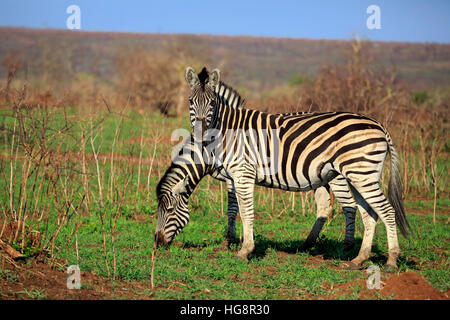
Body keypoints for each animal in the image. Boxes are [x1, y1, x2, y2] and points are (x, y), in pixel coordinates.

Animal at [181, 65, 410, 270]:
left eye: (212, 103)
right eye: (191, 102)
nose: (201, 133)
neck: (229, 130)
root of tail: (379, 125)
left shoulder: (243, 173)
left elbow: (246, 212)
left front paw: (244, 251)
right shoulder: (234, 176)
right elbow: (236, 209)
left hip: (361, 174)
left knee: (386, 211)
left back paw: (391, 261)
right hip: (359, 176)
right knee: (369, 214)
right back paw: (359, 259)